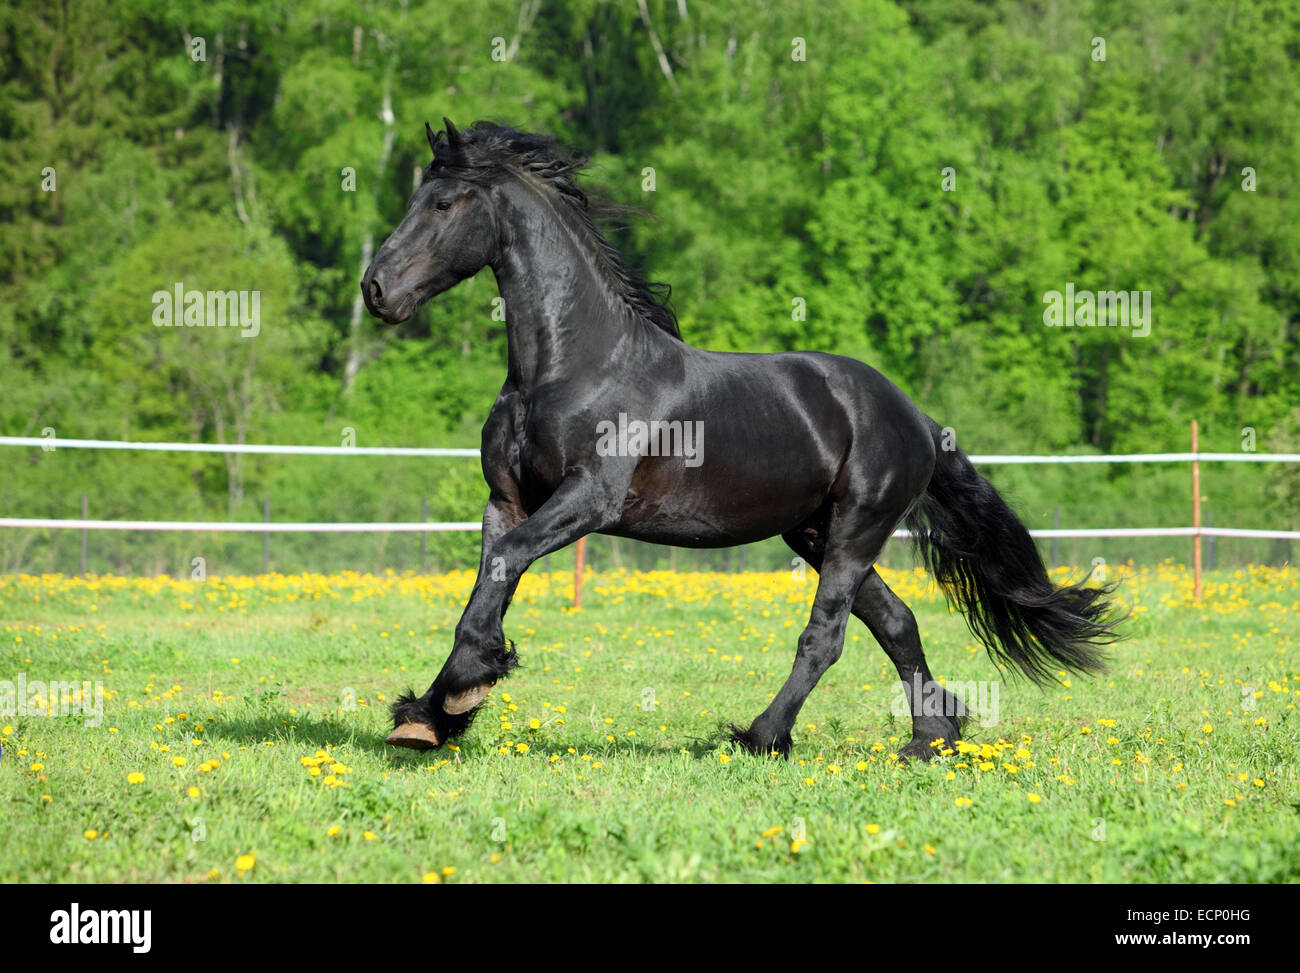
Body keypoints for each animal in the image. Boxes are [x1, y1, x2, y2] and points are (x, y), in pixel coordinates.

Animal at [364, 119, 1118, 759]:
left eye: (443, 204)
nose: (376, 290)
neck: (573, 365)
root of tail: (917, 418)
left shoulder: (587, 499)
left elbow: (504, 565)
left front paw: (465, 687)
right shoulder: (508, 499)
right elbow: (490, 576)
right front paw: (429, 715)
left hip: (856, 528)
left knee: (827, 635)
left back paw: (763, 735)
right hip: (814, 531)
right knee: (896, 620)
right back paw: (931, 737)